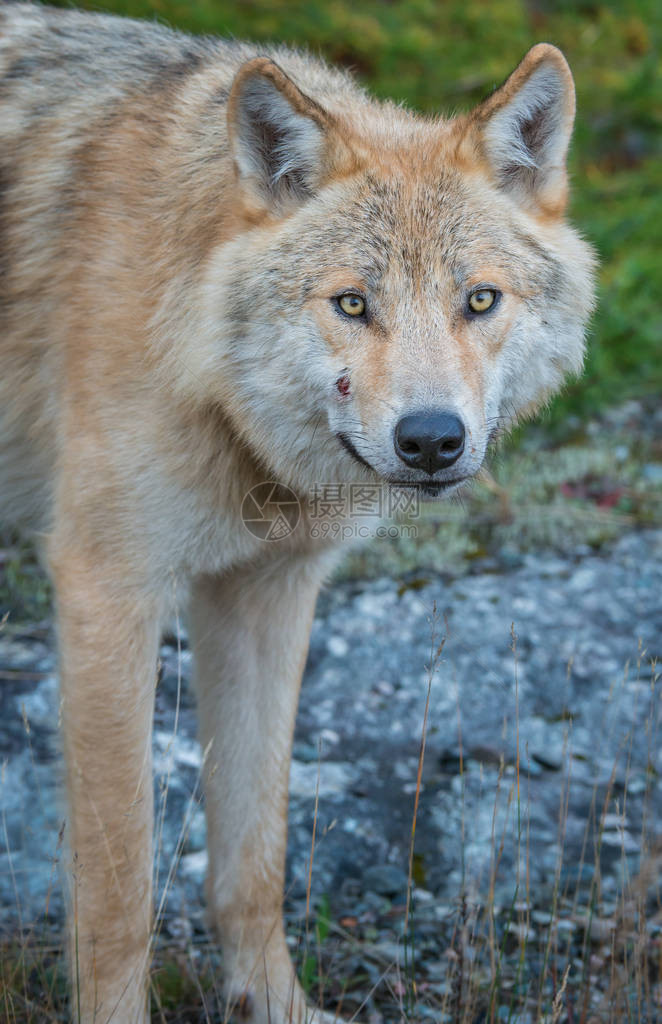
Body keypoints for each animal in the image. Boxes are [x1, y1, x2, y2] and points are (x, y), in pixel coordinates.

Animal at [0, 4, 598, 1019]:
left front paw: (274, 1004)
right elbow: (118, 896)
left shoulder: (265, 595)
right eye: (352, 304)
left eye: (479, 299)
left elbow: (254, 863)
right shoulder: (106, 591)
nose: (431, 440)